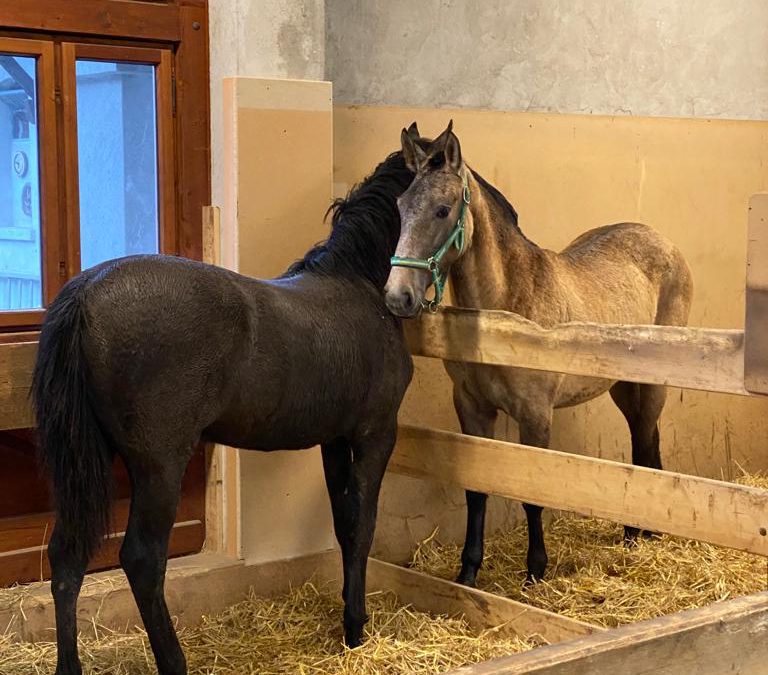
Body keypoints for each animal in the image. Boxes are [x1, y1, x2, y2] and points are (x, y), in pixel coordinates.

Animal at [388, 124, 692, 588]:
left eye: (442, 210)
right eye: (401, 207)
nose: (397, 296)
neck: (508, 308)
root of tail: (664, 242)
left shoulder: (535, 415)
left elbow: (533, 495)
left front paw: (535, 571)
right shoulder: (472, 409)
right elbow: (476, 491)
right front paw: (468, 572)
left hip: (652, 385)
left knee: (643, 442)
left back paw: (634, 537)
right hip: (621, 387)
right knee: (647, 440)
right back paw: (640, 531)